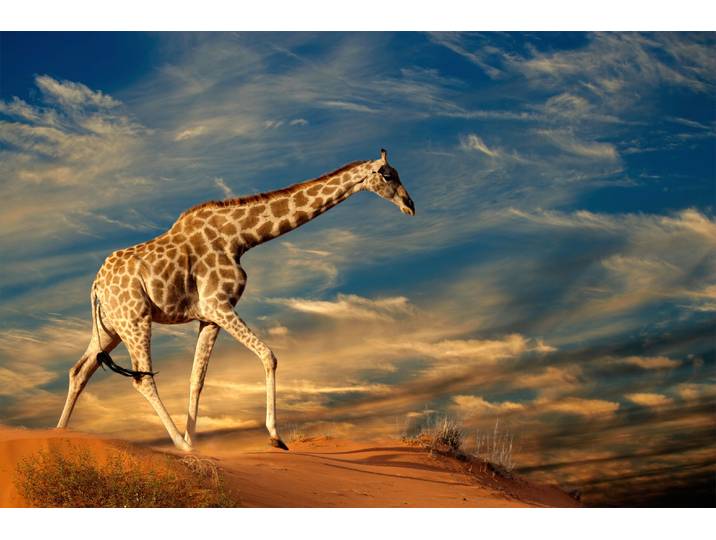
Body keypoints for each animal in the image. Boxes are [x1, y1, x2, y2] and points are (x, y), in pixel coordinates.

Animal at [56, 149, 415, 451]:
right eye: (387, 175)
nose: (410, 205)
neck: (241, 238)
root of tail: (96, 286)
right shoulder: (219, 304)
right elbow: (269, 355)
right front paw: (274, 437)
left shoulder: (208, 317)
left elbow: (197, 379)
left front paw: (196, 440)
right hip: (135, 319)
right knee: (142, 379)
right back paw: (179, 446)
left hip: (110, 327)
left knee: (79, 371)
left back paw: (60, 433)